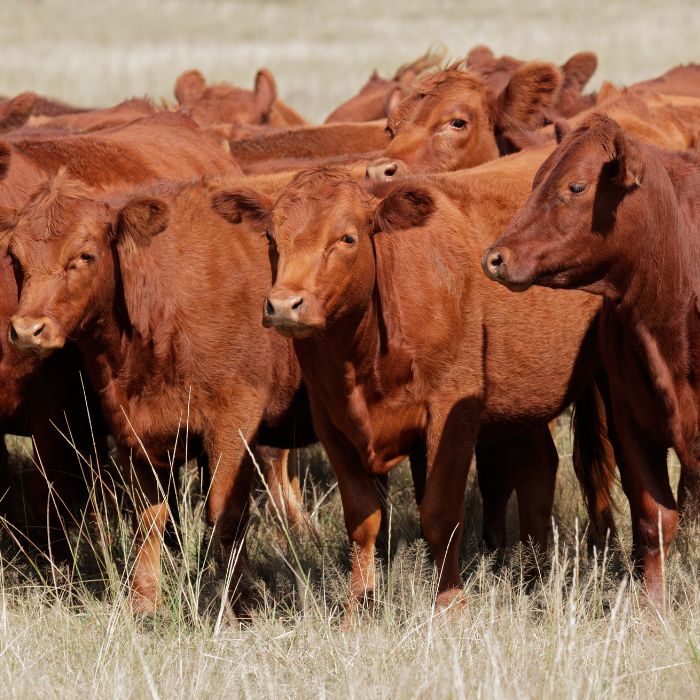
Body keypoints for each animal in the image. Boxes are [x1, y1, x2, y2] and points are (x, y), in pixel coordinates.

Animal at [215, 164, 612, 608]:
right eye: (270, 238)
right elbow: (363, 518)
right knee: (537, 468)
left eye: (347, 238)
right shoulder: (331, 421)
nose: (284, 305)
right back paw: (533, 576)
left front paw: (450, 606)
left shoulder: (451, 410)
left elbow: (439, 513)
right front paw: (359, 606)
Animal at [482, 113, 700, 600]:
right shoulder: (630, 422)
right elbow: (654, 521)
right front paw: (651, 607)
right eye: (535, 181)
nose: (495, 257)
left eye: (577, 186)